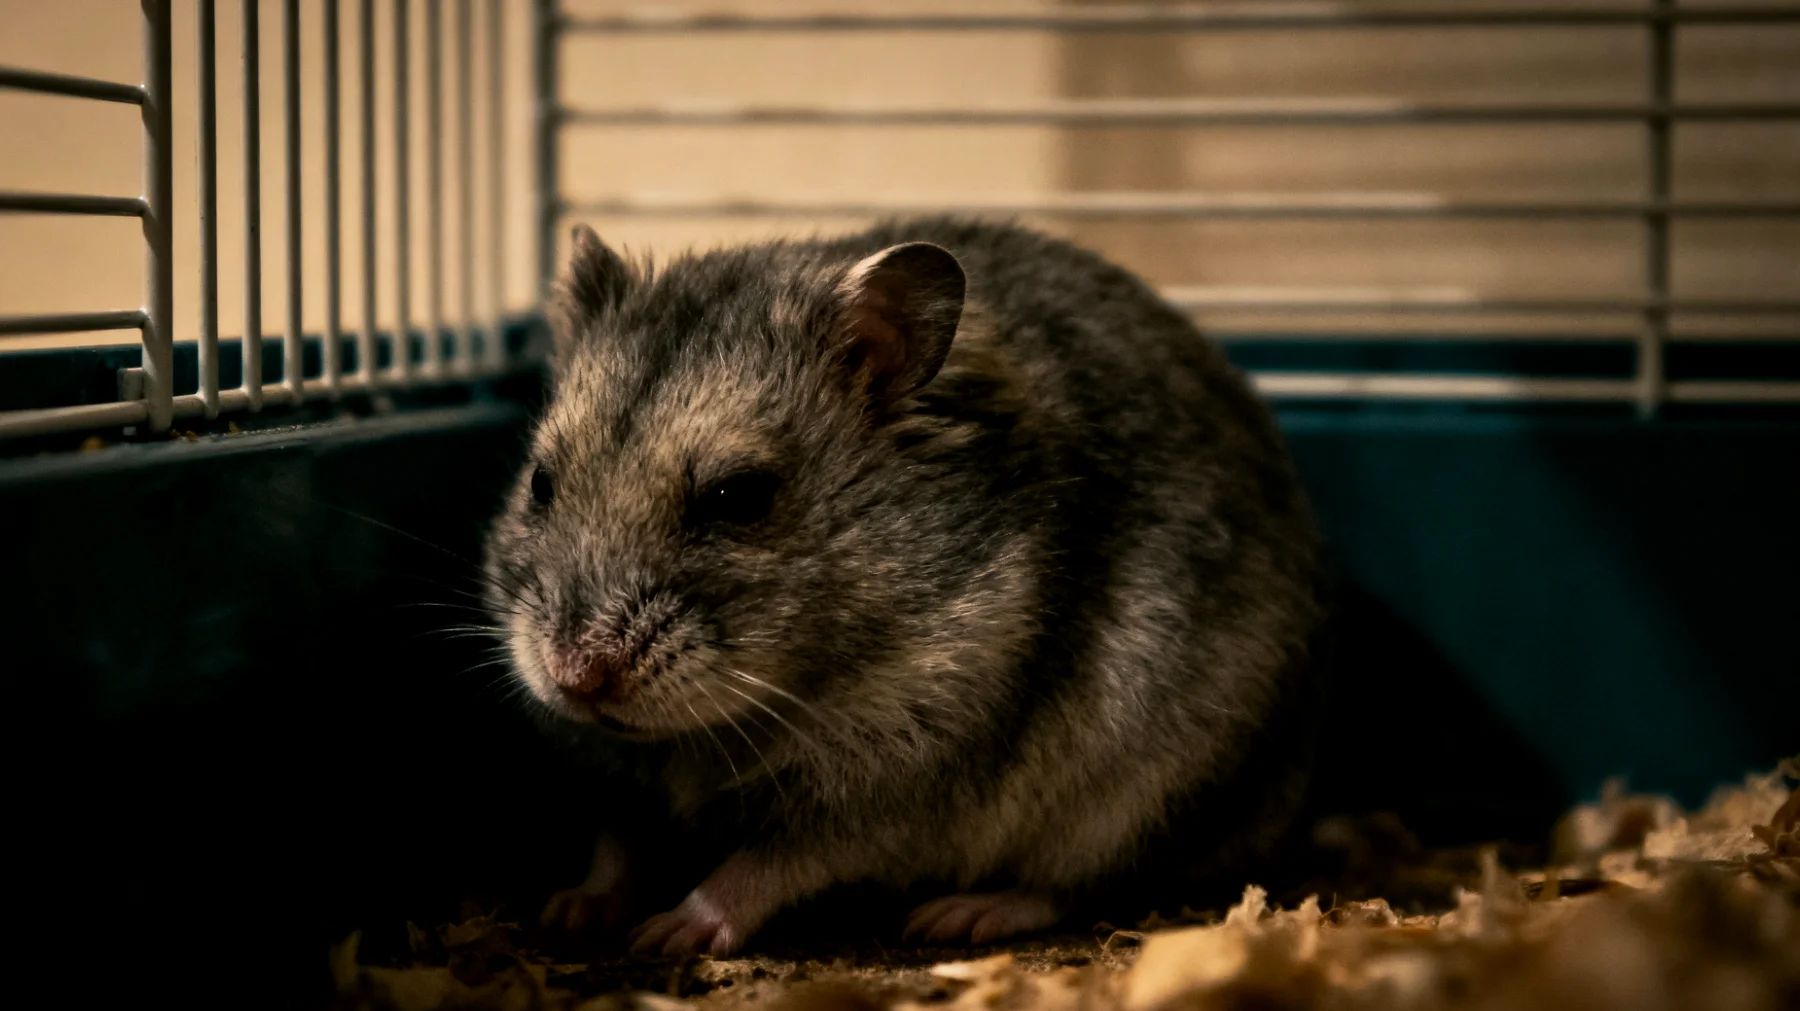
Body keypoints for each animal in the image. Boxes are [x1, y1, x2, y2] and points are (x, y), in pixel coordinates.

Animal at [482, 216, 1330, 957]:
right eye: (540, 482)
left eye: (736, 497)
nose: (577, 676)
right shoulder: (614, 775)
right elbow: (618, 841)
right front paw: (570, 910)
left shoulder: (889, 785)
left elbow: (767, 862)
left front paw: (669, 933)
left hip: (1143, 795)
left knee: (1086, 881)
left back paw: (958, 915)